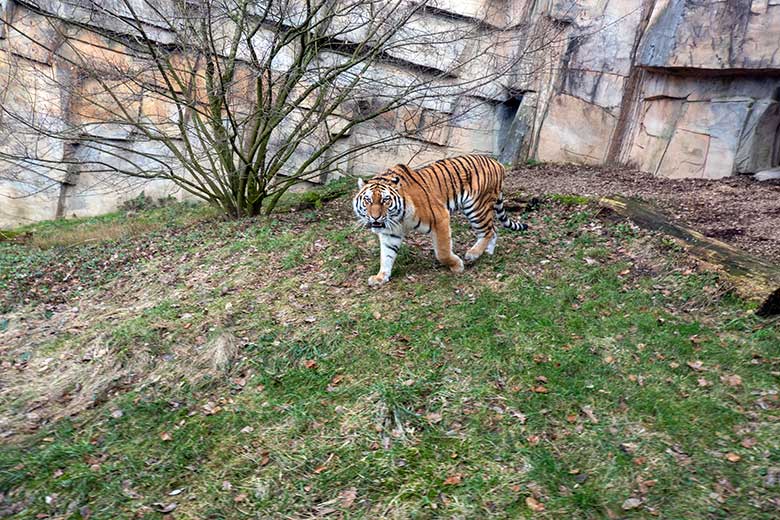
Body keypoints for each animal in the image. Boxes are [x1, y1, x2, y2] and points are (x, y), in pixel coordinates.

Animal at [354, 152, 532, 286]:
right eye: (368, 200)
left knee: (488, 231)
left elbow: (442, 252)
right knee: (493, 230)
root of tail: (498, 163)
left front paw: (457, 266)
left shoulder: (440, 218)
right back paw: (487, 252)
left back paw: (473, 254)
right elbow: (386, 256)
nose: (375, 217)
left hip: (476, 207)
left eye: (385, 200)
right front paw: (380, 277)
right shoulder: (390, 232)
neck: (397, 217)